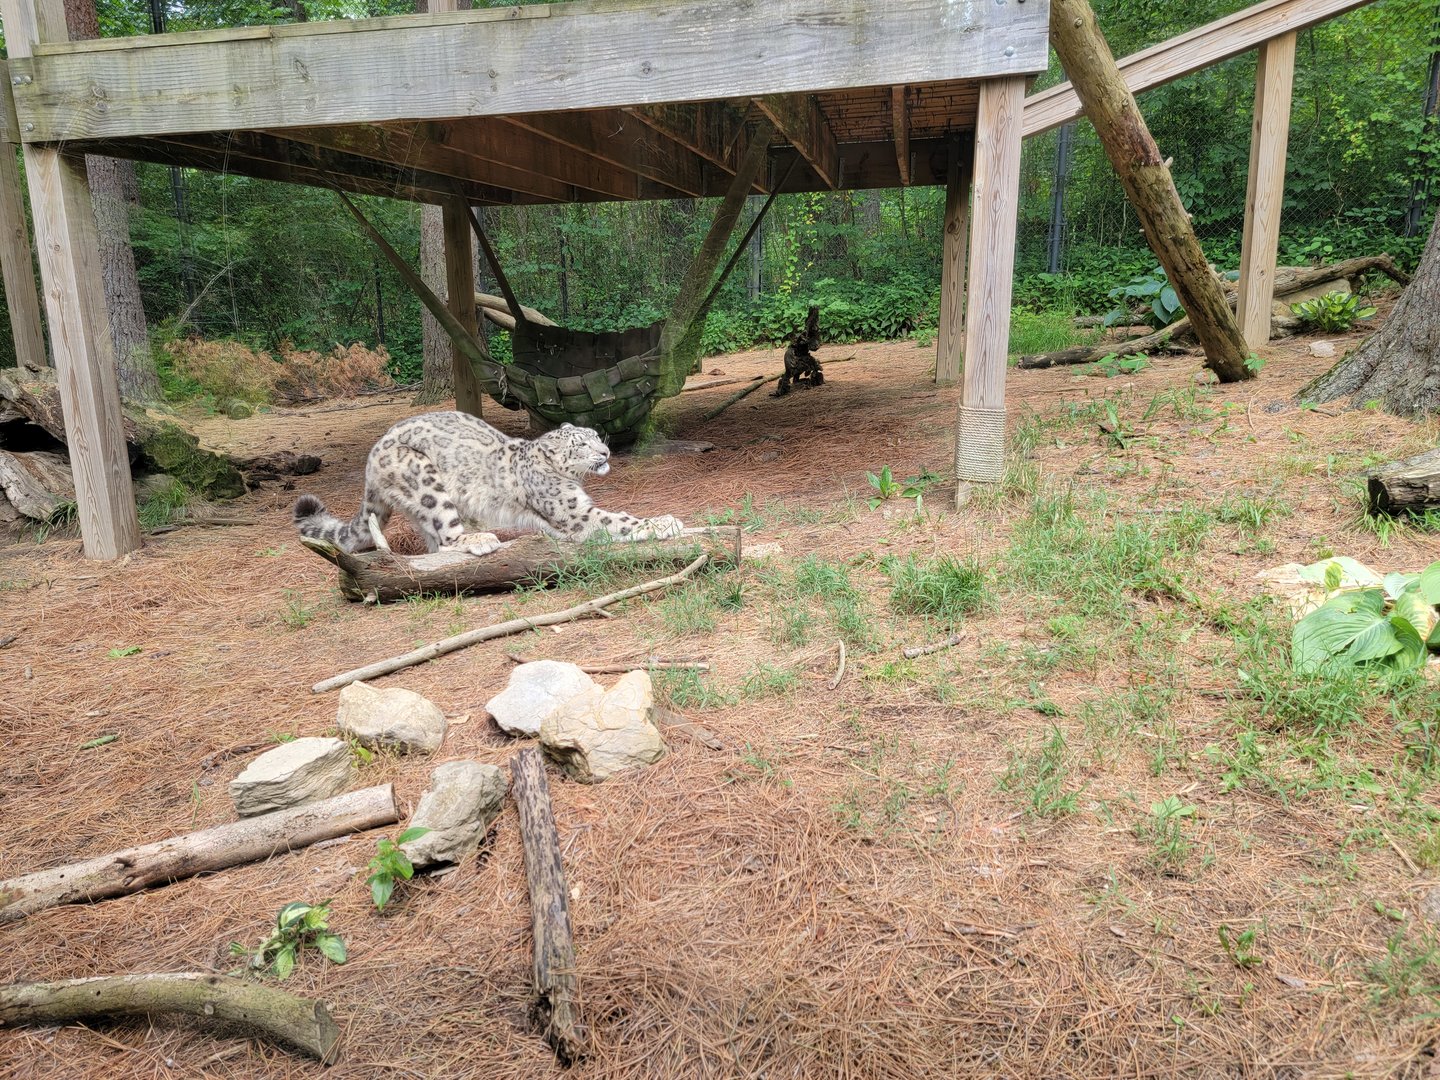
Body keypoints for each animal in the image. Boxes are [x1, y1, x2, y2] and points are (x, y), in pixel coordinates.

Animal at [292, 412, 684, 557]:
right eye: (582, 445)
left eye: (594, 436)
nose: (605, 451)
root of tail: (372, 458)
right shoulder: (575, 515)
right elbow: (619, 520)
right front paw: (665, 522)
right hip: (426, 481)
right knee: (448, 536)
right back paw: (480, 539)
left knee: (436, 544)